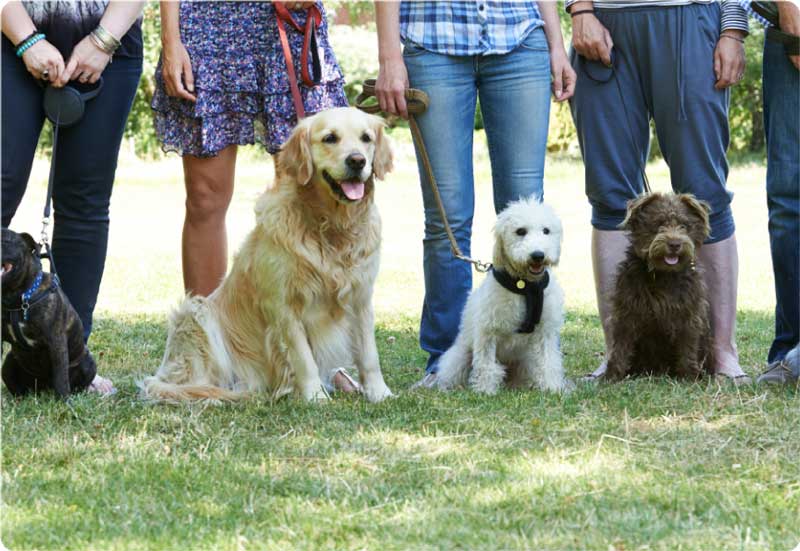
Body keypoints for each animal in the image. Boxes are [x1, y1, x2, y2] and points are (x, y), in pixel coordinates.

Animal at [1, 229, 96, 396]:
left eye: (5, 241)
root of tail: (43, 388)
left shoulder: (56, 342)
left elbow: (61, 377)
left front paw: (64, 400)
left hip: (88, 363)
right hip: (8, 363)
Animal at [143, 106, 396, 402]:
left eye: (366, 138)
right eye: (330, 138)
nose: (357, 161)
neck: (331, 225)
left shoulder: (361, 298)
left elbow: (369, 354)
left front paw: (380, 393)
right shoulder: (283, 304)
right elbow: (303, 358)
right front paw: (315, 396)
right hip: (196, 313)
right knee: (194, 381)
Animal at [438, 198, 568, 396]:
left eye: (546, 230)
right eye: (520, 231)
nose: (538, 255)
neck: (525, 286)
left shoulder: (546, 331)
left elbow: (549, 361)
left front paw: (552, 387)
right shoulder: (488, 330)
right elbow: (486, 365)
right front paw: (485, 390)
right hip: (459, 356)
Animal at [608, 192, 716, 382]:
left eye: (684, 226)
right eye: (659, 224)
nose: (674, 244)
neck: (664, 274)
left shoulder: (689, 314)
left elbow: (688, 345)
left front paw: (689, 376)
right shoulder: (627, 311)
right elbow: (620, 345)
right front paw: (613, 375)